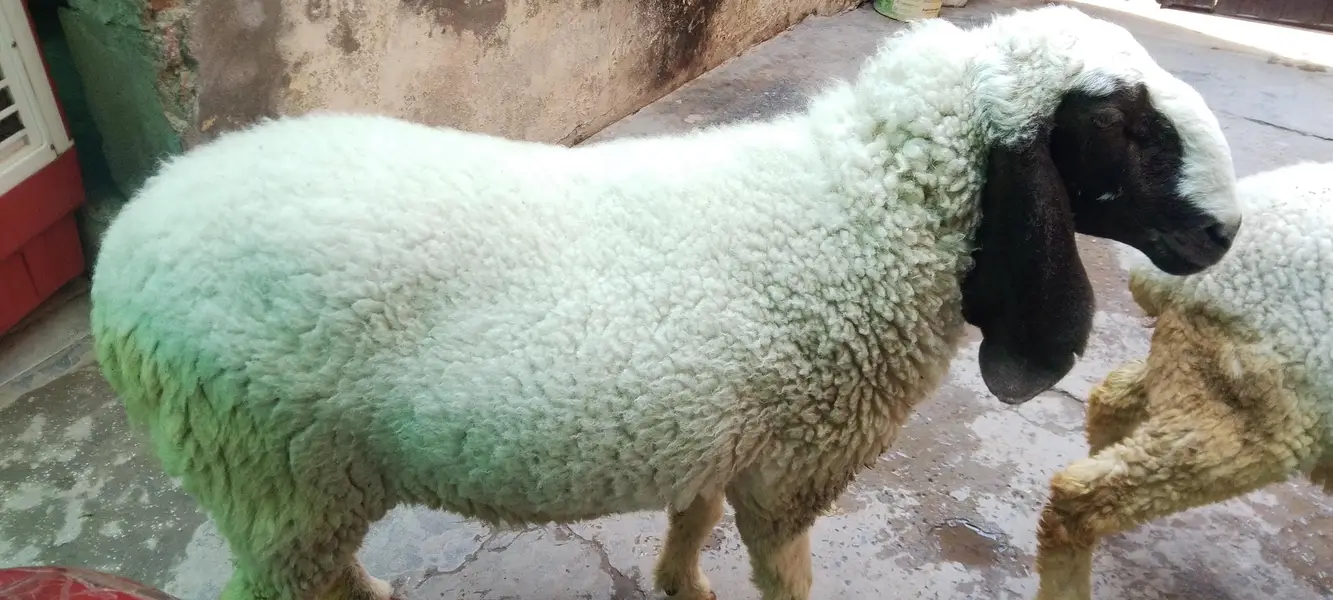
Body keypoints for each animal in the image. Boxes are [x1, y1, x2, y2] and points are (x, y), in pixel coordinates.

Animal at [88, 6, 1242, 600]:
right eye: (1126, 131)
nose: (1223, 236)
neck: (863, 217)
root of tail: (122, 255)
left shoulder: (724, 436)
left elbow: (692, 518)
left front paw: (678, 585)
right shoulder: (794, 468)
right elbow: (785, 576)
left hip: (279, 491)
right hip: (275, 478)